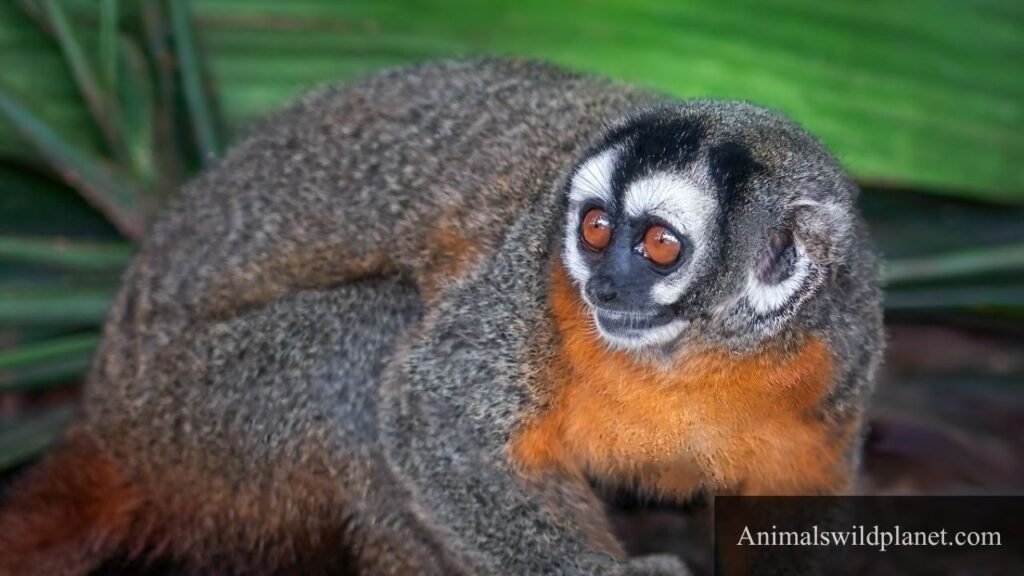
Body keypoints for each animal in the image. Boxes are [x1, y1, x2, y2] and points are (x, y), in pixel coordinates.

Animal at [0, 58, 883, 575]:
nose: (606, 287)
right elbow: (431, 421)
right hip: (191, 423)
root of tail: (106, 416)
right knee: (370, 344)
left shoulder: (840, 355)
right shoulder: (526, 286)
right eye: (596, 230)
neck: (697, 352)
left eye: (660, 246)